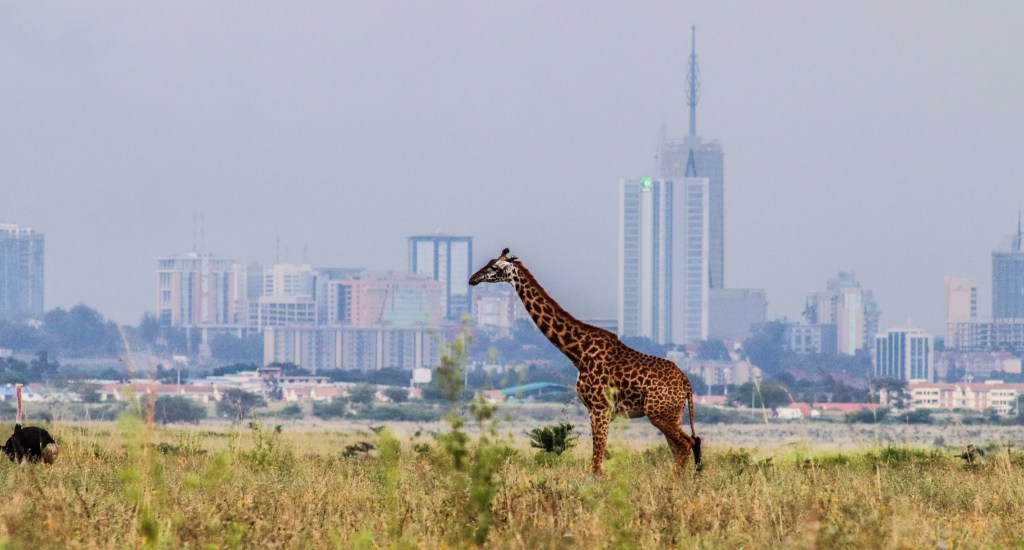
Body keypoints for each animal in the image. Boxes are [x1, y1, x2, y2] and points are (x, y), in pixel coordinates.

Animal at [468, 248, 696, 471]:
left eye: (495, 267)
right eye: (489, 262)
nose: (473, 279)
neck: (578, 352)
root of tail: (686, 384)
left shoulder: (600, 409)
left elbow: (596, 465)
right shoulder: (594, 410)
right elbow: (597, 463)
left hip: (659, 413)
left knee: (686, 444)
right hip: (672, 414)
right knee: (681, 448)